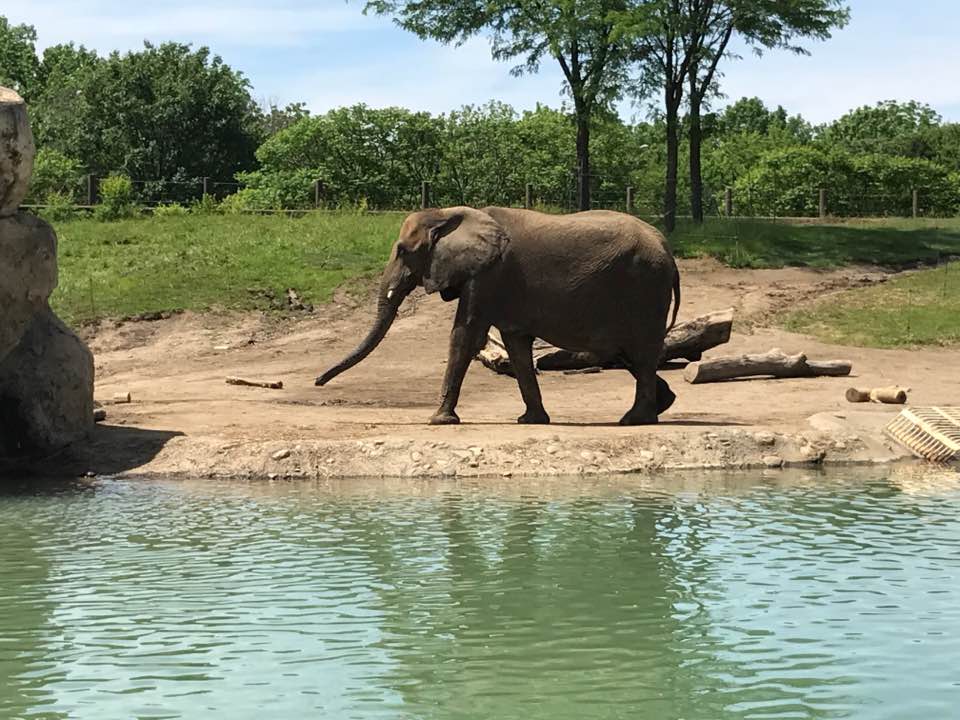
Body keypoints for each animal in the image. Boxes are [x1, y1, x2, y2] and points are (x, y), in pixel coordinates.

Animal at [317, 206, 681, 426]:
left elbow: (465, 336)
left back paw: (635, 420)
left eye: (404, 251)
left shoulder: (488, 275)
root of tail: (667, 249)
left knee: (640, 353)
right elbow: (516, 346)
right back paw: (661, 405)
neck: (449, 215)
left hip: (644, 289)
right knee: (629, 355)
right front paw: (531, 421)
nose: (317, 382)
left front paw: (439, 420)